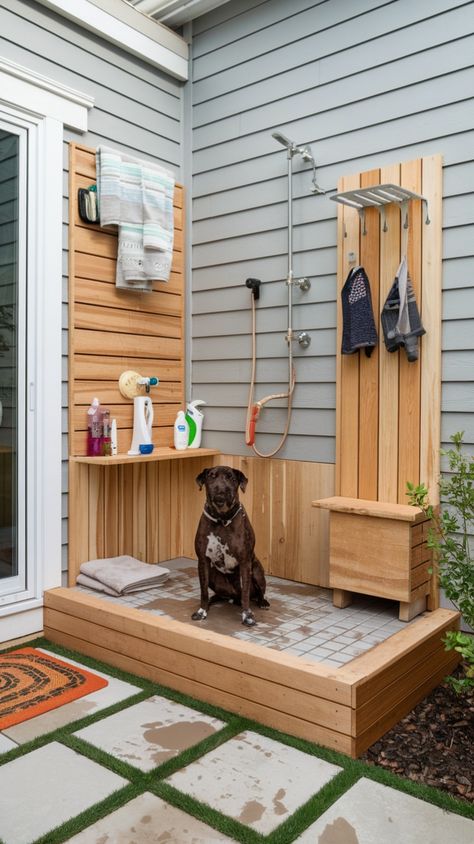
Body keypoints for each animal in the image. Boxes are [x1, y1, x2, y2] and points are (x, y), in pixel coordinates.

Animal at [191, 464, 268, 624]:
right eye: (212, 476)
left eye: (231, 478)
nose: (221, 490)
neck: (222, 518)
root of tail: (233, 596)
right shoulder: (203, 561)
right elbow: (203, 592)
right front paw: (202, 611)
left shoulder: (245, 562)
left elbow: (245, 593)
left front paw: (247, 616)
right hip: (213, 576)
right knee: (218, 594)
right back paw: (213, 601)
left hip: (257, 571)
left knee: (259, 592)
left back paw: (262, 602)